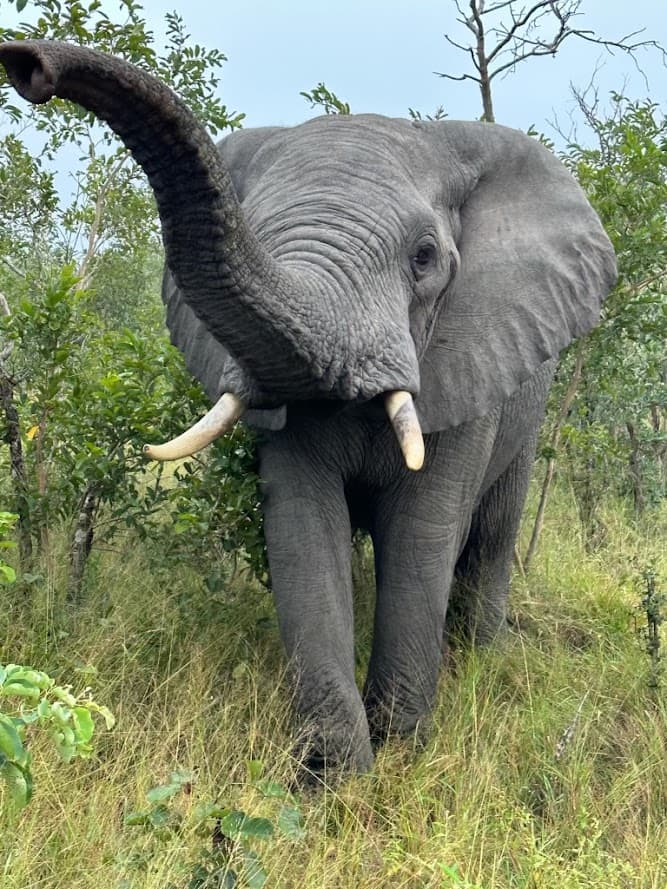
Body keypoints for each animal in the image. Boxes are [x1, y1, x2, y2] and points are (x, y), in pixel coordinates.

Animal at [0, 40, 616, 775]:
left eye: (424, 258)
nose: (29, 65)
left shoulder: (467, 360)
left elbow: (423, 528)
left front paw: (400, 756)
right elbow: (301, 524)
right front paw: (331, 775)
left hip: (529, 401)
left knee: (493, 530)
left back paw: (478, 653)